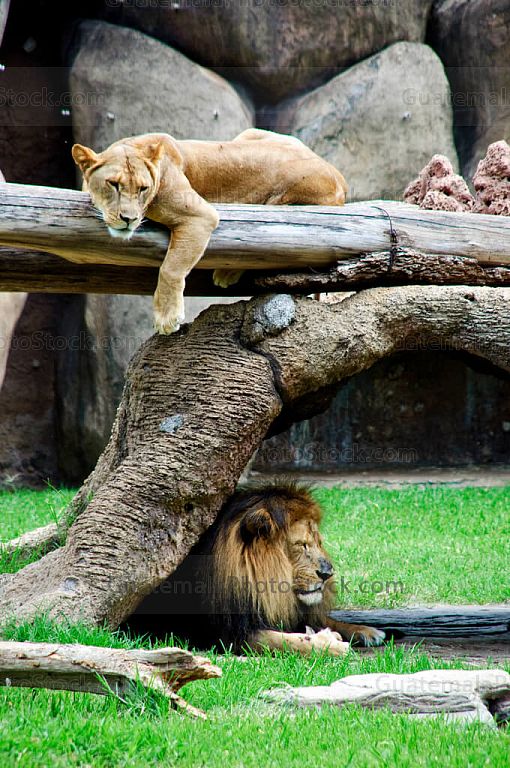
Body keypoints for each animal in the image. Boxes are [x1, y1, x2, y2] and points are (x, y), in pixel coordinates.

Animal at [71, 129, 348, 335]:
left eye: (142, 188)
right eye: (113, 184)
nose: (129, 219)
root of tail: (339, 175)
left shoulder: (200, 216)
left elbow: (171, 267)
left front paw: (167, 318)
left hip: (280, 199)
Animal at [126, 483, 385, 655]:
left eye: (318, 542)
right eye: (301, 545)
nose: (327, 573)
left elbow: (324, 619)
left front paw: (365, 631)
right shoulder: (233, 635)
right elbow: (288, 641)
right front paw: (330, 645)